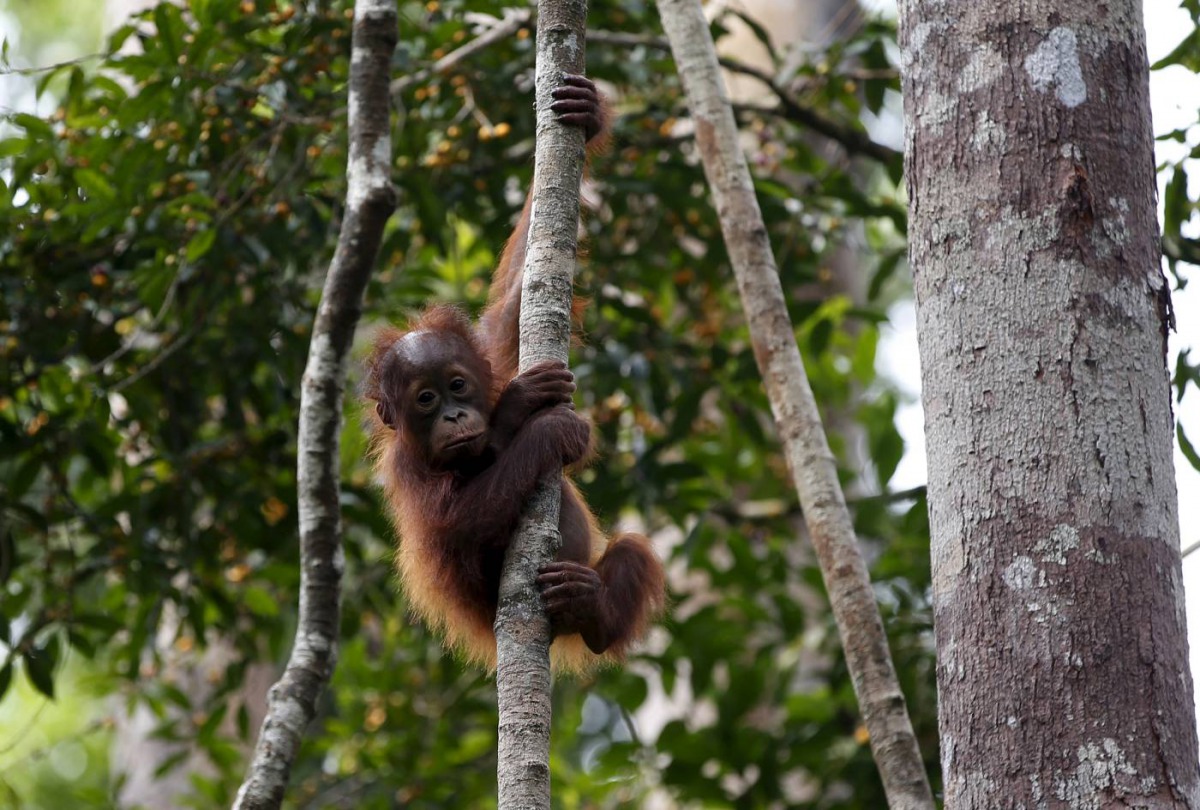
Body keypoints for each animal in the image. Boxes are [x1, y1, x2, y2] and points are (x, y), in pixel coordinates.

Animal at [365, 75, 665, 673]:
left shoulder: (491, 347)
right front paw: (529, 417)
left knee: (630, 552)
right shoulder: (405, 471)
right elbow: (453, 526)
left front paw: (589, 114)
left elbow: (516, 296)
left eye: (458, 386)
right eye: (426, 400)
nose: (455, 415)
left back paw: (592, 611)